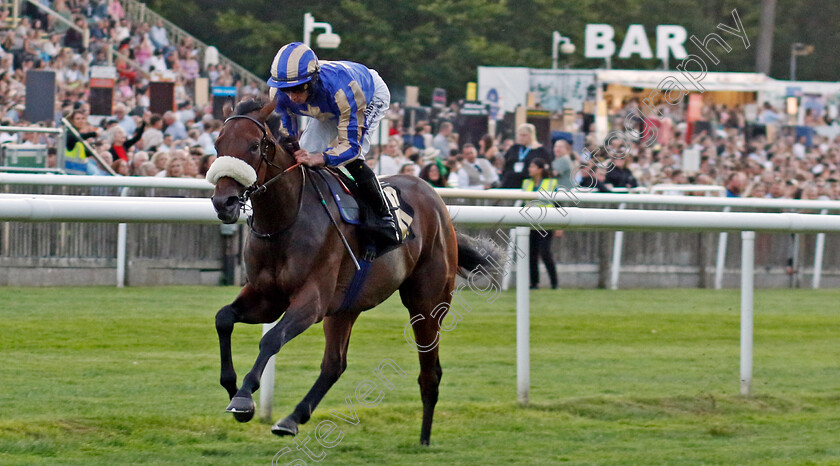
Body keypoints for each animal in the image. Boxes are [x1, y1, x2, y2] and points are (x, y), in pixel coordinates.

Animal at [210, 99, 498, 444]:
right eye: (218, 144)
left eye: (254, 146)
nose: (223, 202)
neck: (285, 219)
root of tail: (435, 198)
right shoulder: (267, 296)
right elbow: (224, 318)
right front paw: (232, 388)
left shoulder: (312, 301)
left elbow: (272, 339)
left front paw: (243, 397)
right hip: (346, 305)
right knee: (335, 364)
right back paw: (292, 418)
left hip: (427, 303)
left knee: (430, 371)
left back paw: (424, 438)